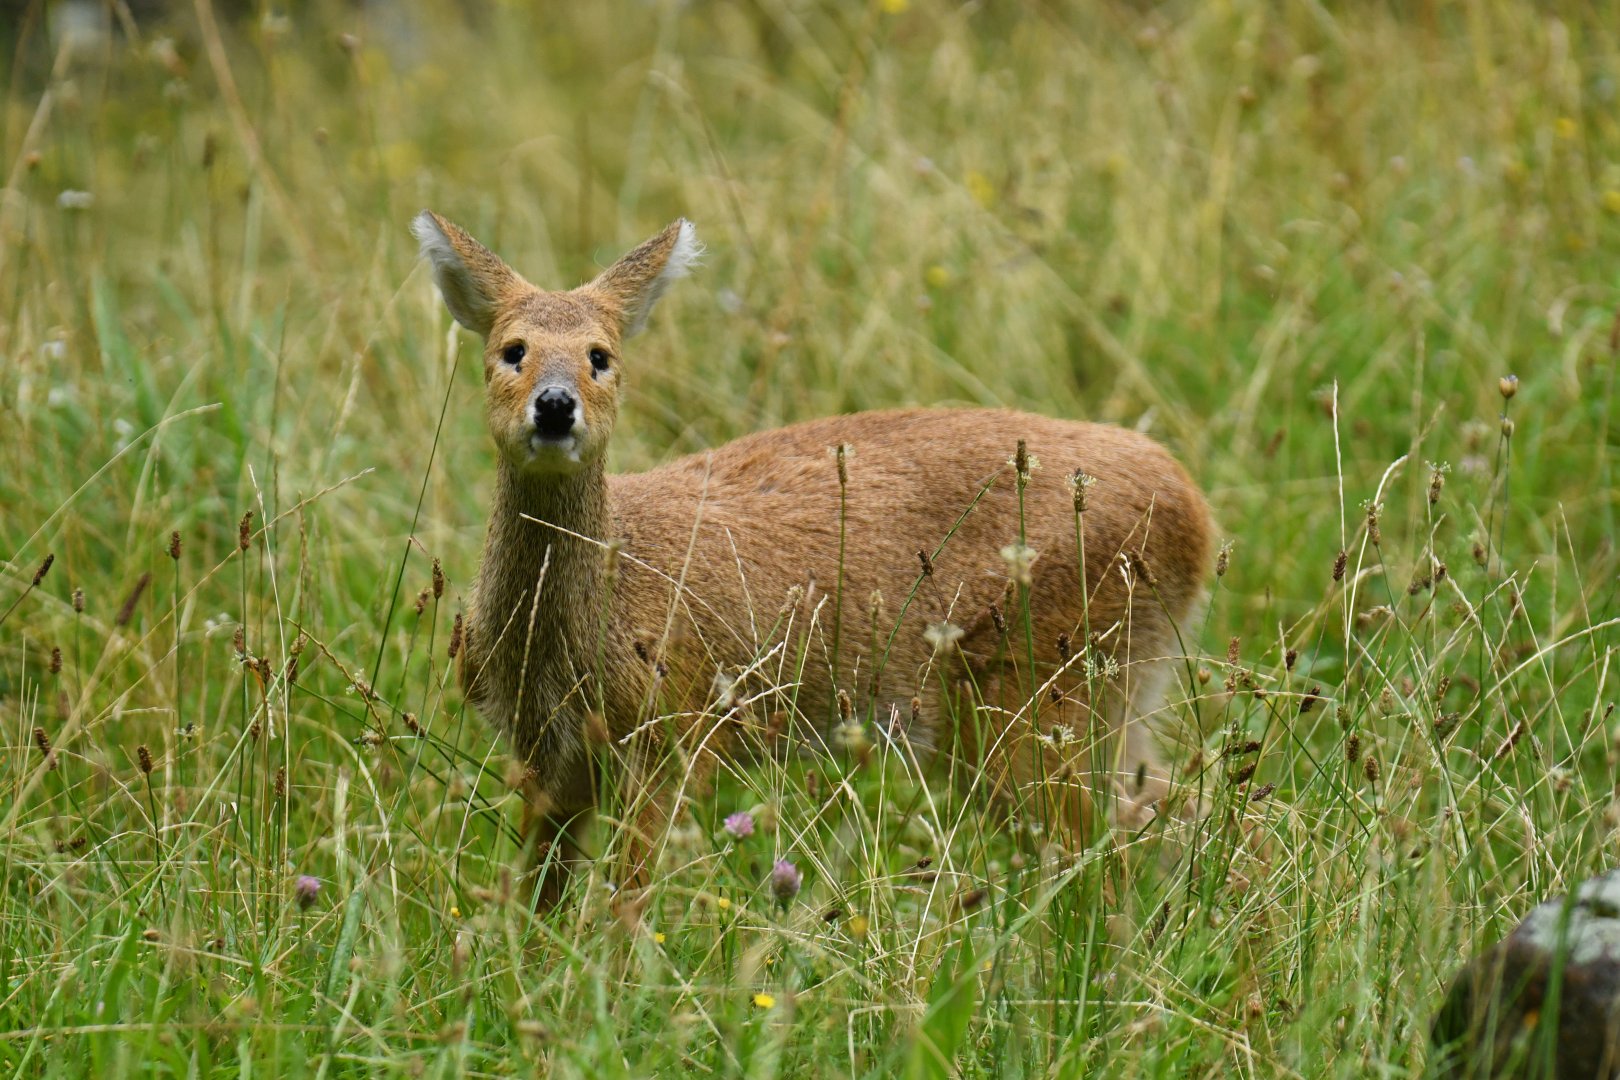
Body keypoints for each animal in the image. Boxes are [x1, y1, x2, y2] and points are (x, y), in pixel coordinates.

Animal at [411, 211, 1214, 910]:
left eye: (600, 357)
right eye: (511, 349)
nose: (554, 405)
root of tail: (1195, 514)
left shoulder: (673, 732)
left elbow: (626, 904)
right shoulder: (548, 757)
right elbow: (534, 898)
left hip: (1036, 689)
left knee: (1105, 850)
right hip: (1105, 695)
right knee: (1170, 814)